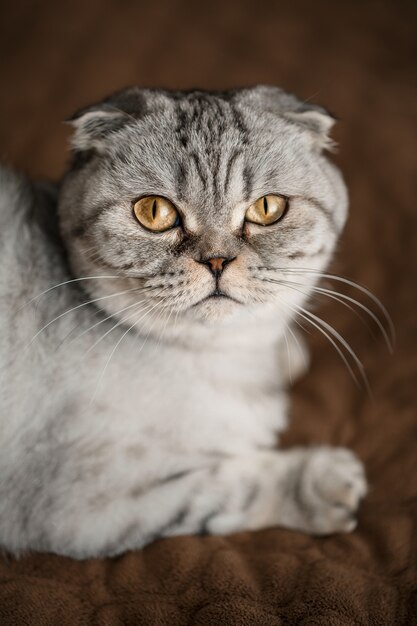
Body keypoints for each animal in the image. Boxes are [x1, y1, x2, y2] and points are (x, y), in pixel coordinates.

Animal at [0, 84, 366, 556]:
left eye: (268, 208)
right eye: (154, 212)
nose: (217, 261)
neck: (229, 362)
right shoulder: (83, 506)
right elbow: (231, 488)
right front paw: (320, 482)